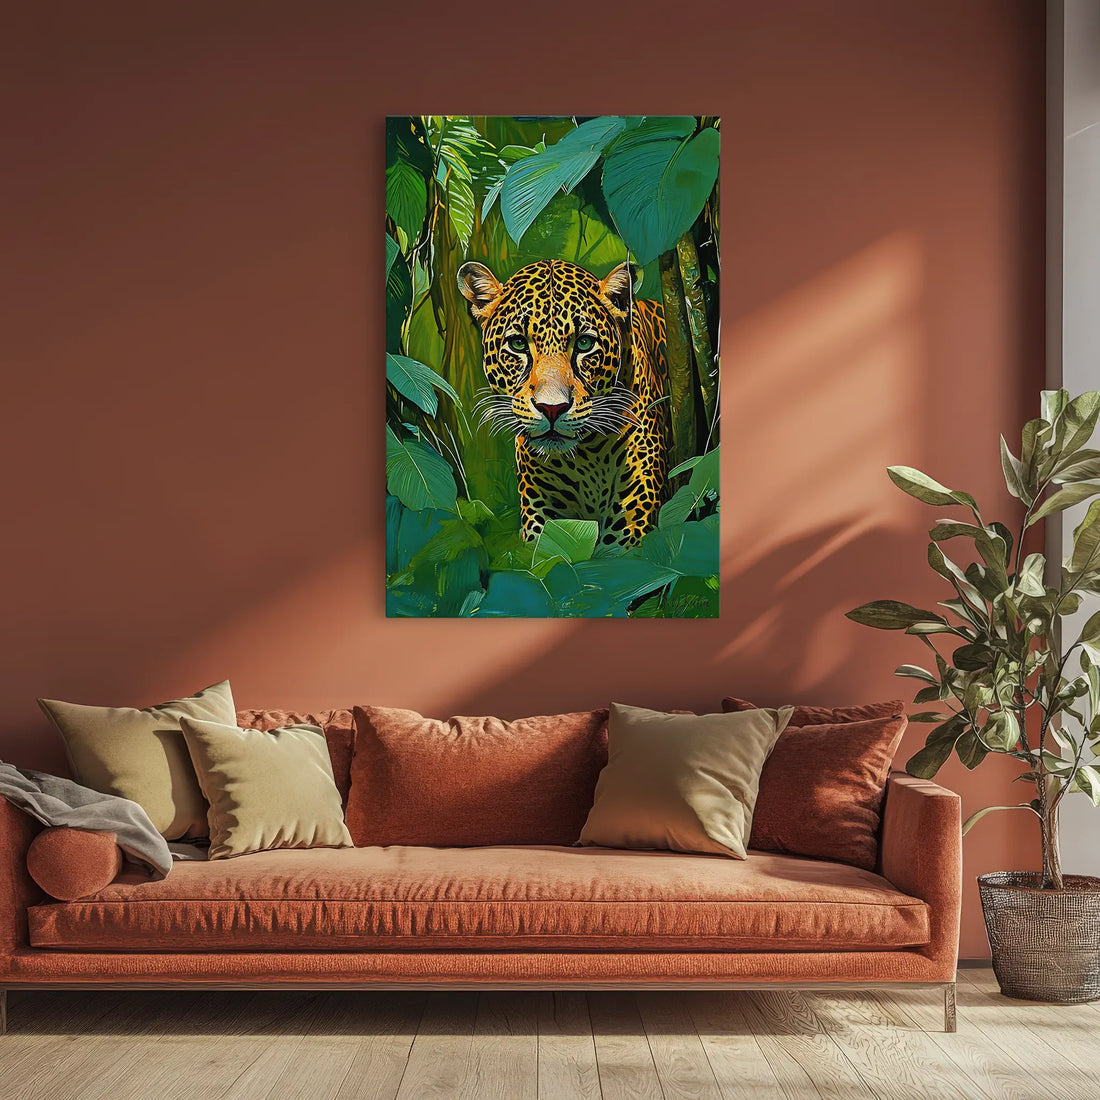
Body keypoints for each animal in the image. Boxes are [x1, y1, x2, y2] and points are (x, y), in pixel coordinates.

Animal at [458, 258, 668, 547]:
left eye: (585, 343)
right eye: (518, 344)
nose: (552, 408)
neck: (588, 456)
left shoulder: (631, 525)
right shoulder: (543, 519)